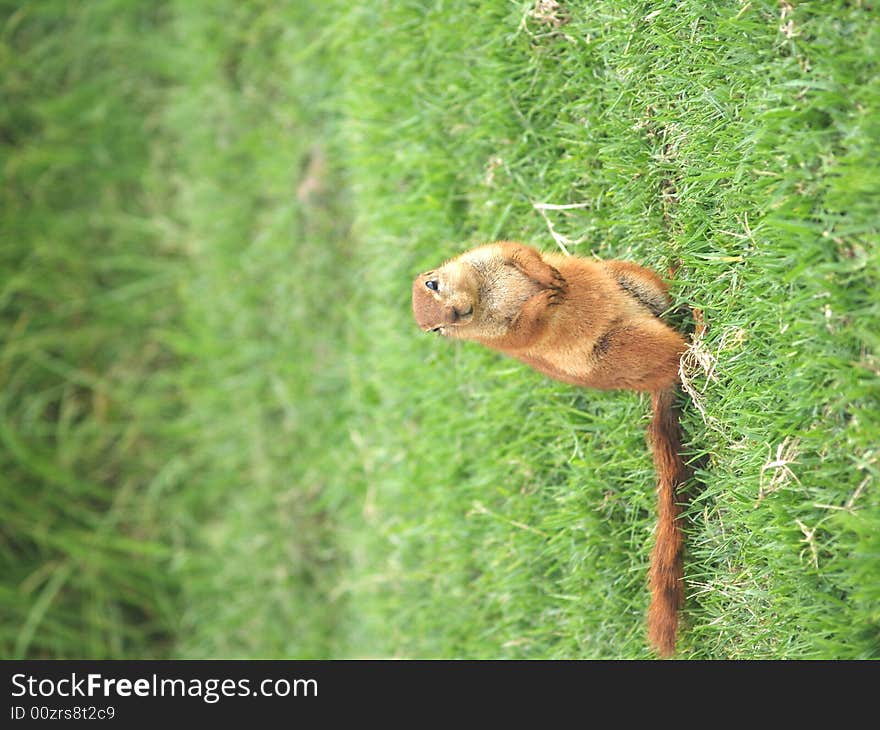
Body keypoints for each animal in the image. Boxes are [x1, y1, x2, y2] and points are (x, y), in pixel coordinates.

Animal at [410, 240, 692, 656]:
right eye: (435, 330)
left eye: (433, 284)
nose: (455, 316)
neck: (483, 296)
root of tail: (657, 382)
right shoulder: (508, 338)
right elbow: (528, 328)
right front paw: (544, 299)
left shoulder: (490, 253)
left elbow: (522, 253)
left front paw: (549, 279)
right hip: (631, 345)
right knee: (680, 352)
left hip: (633, 280)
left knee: (665, 303)